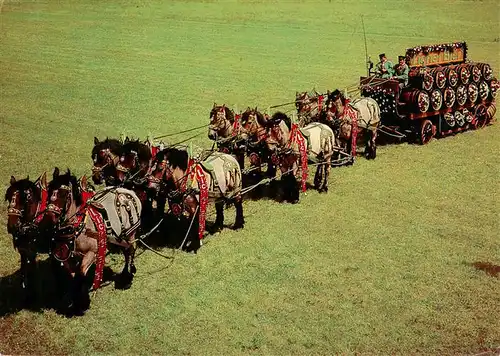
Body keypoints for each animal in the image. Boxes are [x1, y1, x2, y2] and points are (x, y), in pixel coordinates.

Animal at [4, 172, 48, 304]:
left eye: (25, 199)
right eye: (8, 197)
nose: (12, 226)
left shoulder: (32, 251)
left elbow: (33, 271)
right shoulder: (24, 250)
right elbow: (24, 270)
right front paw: (26, 295)